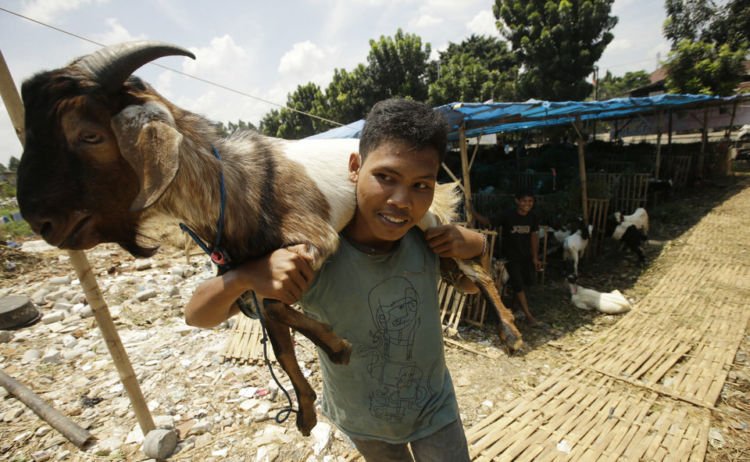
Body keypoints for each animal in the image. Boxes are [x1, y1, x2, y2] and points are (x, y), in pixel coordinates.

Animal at [16, 41, 524, 434]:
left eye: (89, 135)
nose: (39, 221)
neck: (236, 185)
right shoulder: (249, 274)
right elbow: (274, 330)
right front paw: (306, 410)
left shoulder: (315, 237)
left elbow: (281, 312)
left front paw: (336, 348)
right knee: (462, 272)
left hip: (431, 220)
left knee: (477, 263)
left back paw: (512, 334)